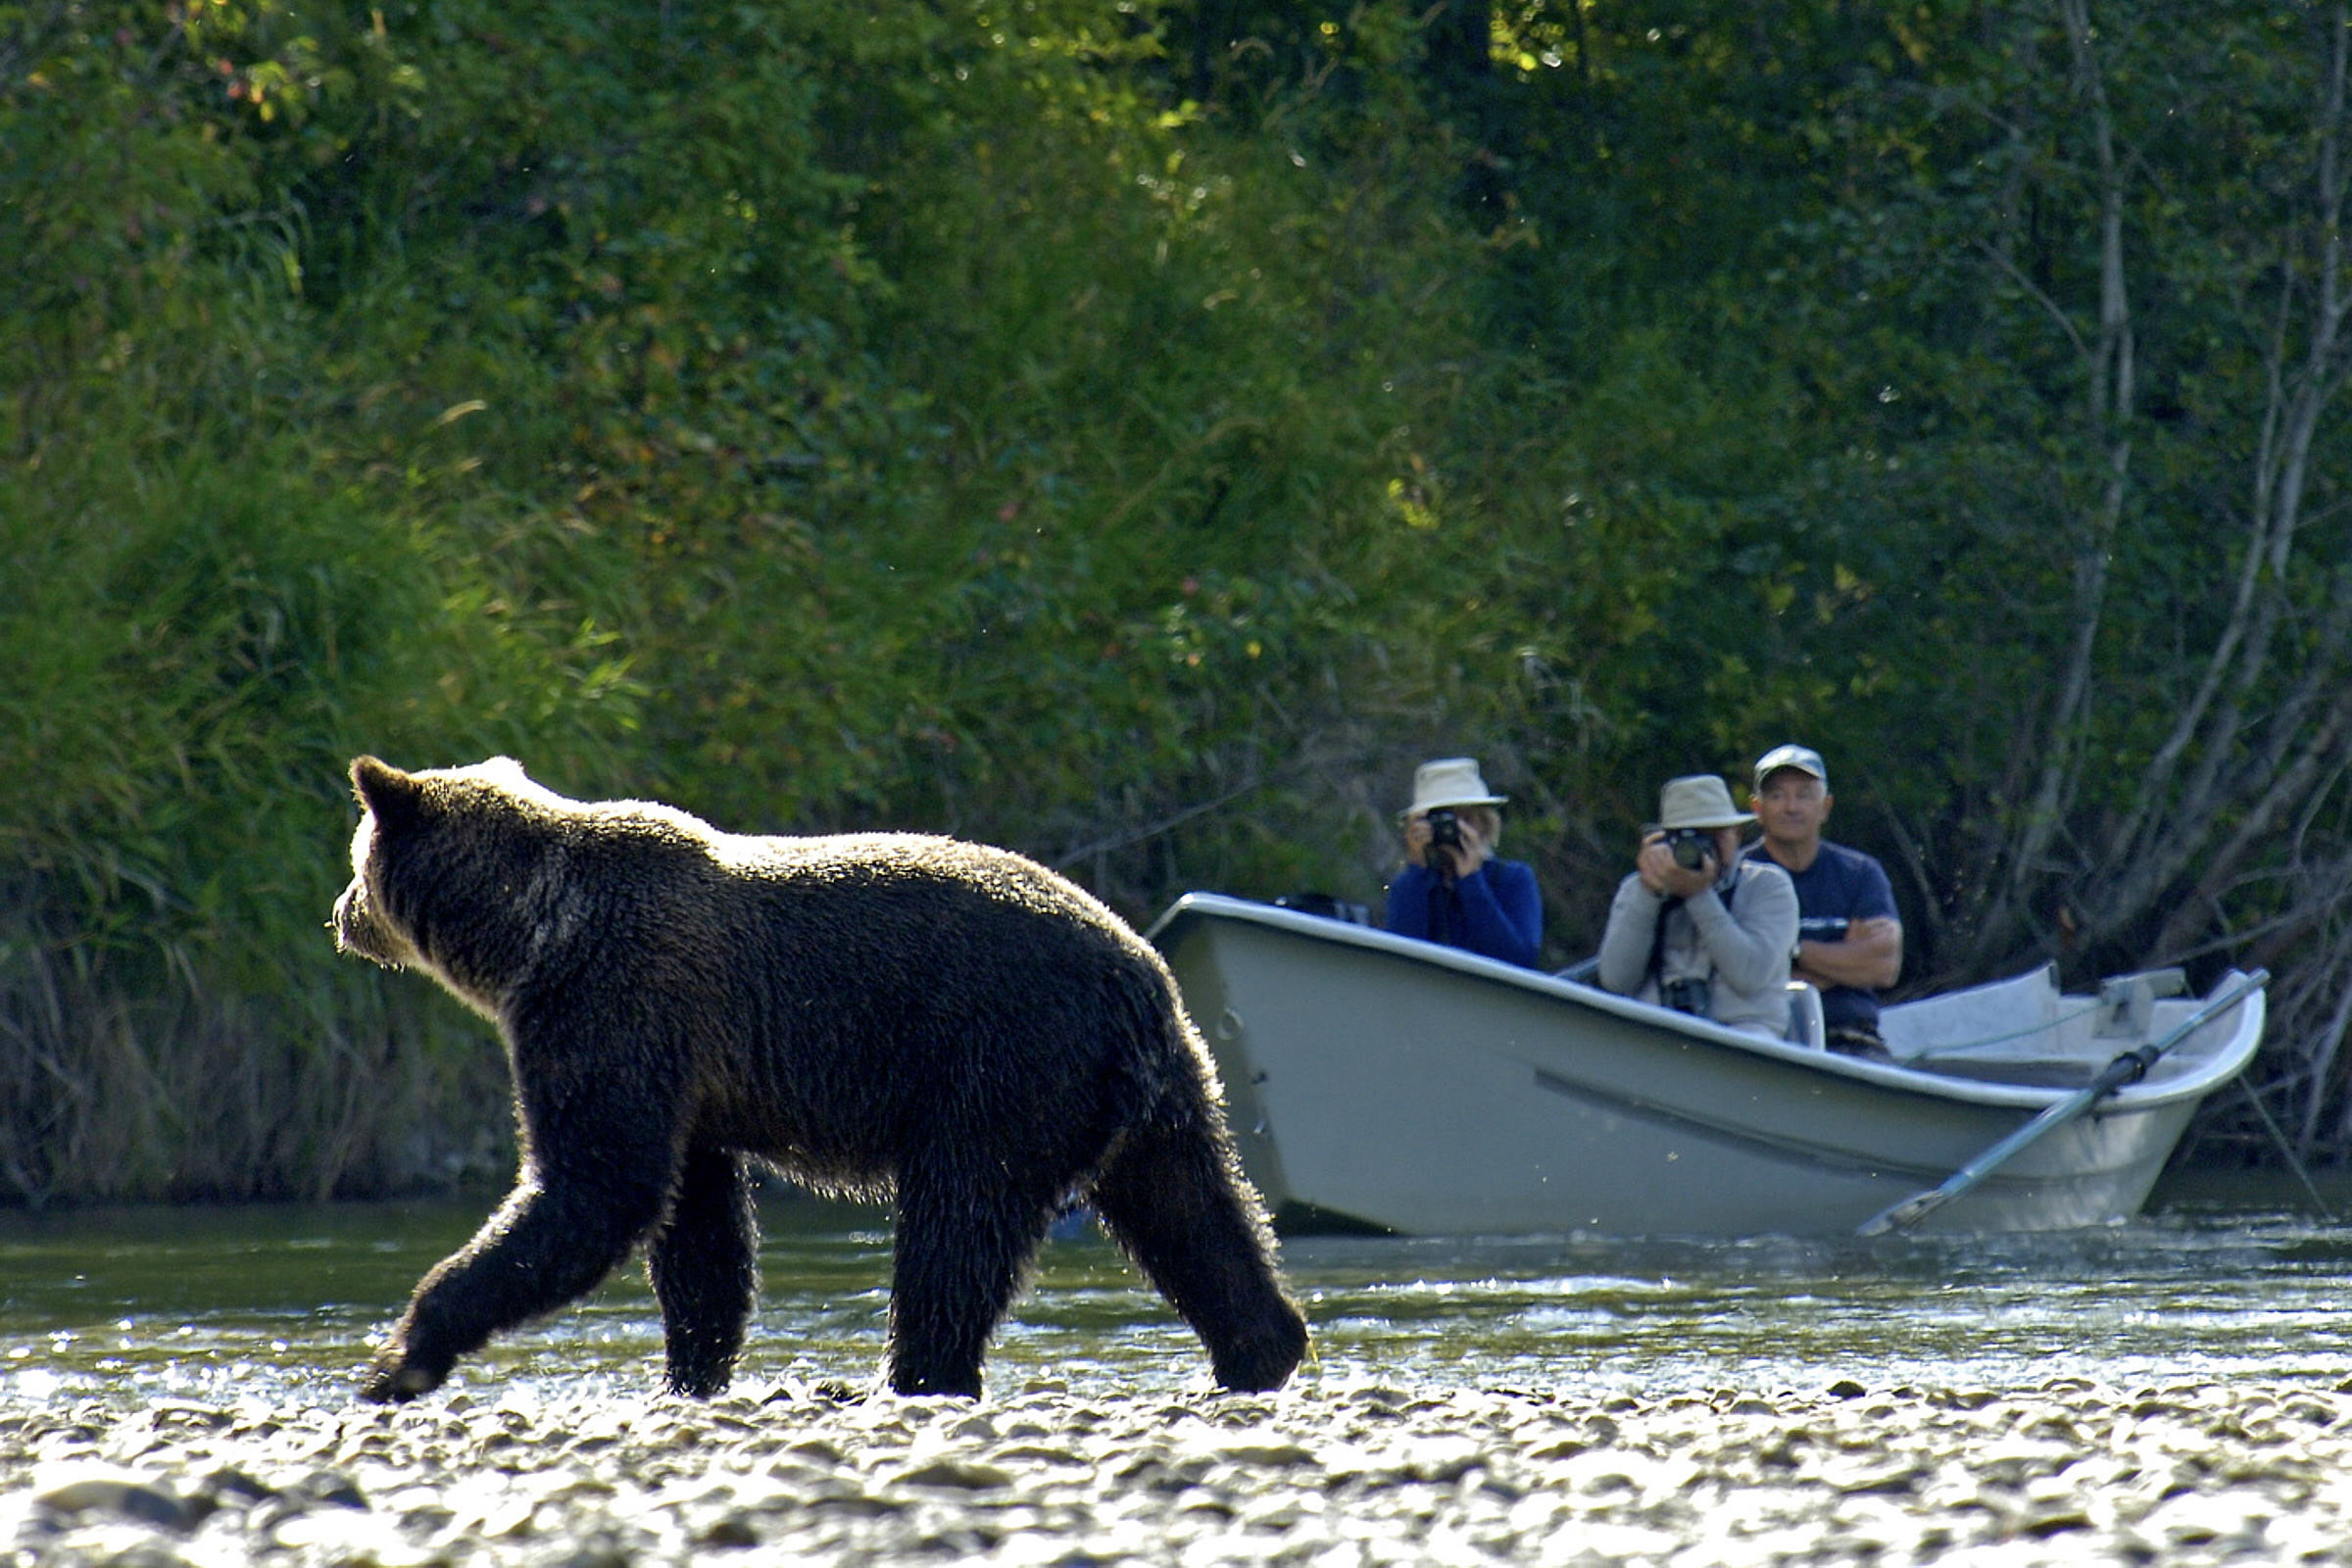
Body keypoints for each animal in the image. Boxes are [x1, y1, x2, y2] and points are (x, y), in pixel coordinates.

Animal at [329, 755, 1308, 1402]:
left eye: (355, 857)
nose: (340, 914)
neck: (527, 937)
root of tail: (1142, 975)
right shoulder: (691, 1077)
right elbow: (697, 1227)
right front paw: (692, 1370)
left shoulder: (611, 1007)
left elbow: (596, 1186)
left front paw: (403, 1353)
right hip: (1158, 1090)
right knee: (1193, 1209)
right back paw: (1260, 1347)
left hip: (1001, 1065)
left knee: (957, 1226)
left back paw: (914, 1373)